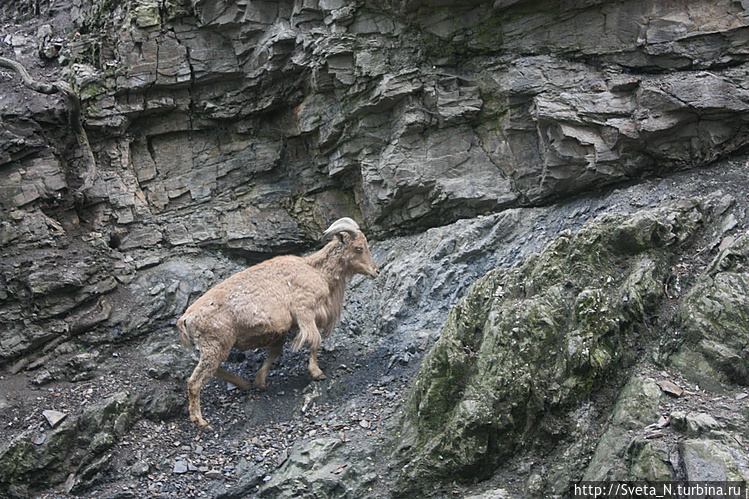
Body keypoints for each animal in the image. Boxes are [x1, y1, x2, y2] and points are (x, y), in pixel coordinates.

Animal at [177, 217, 380, 432]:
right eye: (358, 248)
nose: (376, 271)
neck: (316, 270)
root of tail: (186, 319)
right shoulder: (305, 311)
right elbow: (314, 341)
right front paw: (317, 373)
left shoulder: (281, 330)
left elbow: (275, 352)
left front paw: (260, 381)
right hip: (215, 346)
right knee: (195, 381)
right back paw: (201, 421)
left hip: (217, 347)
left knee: (214, 370)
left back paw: (244, 384)